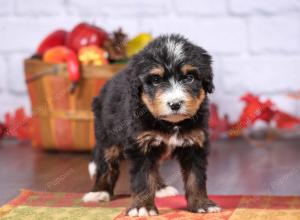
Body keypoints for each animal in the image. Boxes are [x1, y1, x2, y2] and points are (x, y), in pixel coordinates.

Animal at [82, 34, 220, 217]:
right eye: (155, 80)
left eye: (189, 78)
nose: (175, 104)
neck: (170, 124)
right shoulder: (140, 144)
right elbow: (144, 177)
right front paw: (143, 207)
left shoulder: (195, 142)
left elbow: (195, 177)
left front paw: (201, 204)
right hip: (107, 136)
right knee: (106, 165)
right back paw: (99, 191)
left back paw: (161, 188)